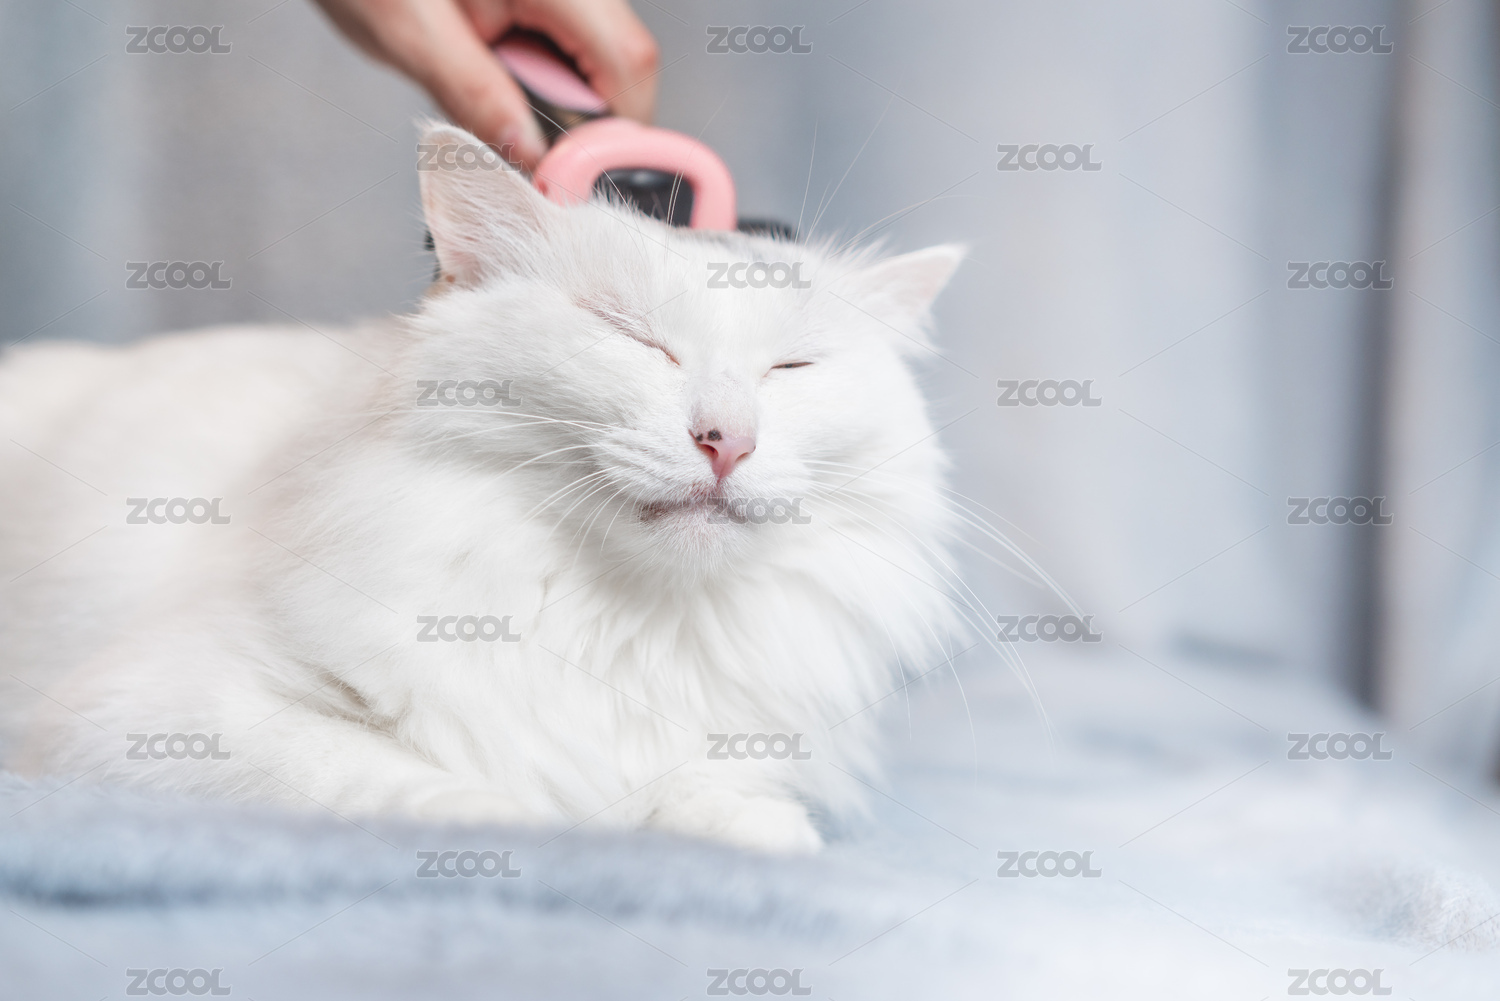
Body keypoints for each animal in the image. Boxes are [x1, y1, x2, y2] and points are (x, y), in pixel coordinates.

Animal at [0, 123, 966, 853]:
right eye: (634, 336)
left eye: (792, 368)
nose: (727, 439)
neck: (622, 620)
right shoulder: (160, 707)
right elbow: (408, 780)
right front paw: (523, 824)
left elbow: (703, 791)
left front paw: (758, 831)